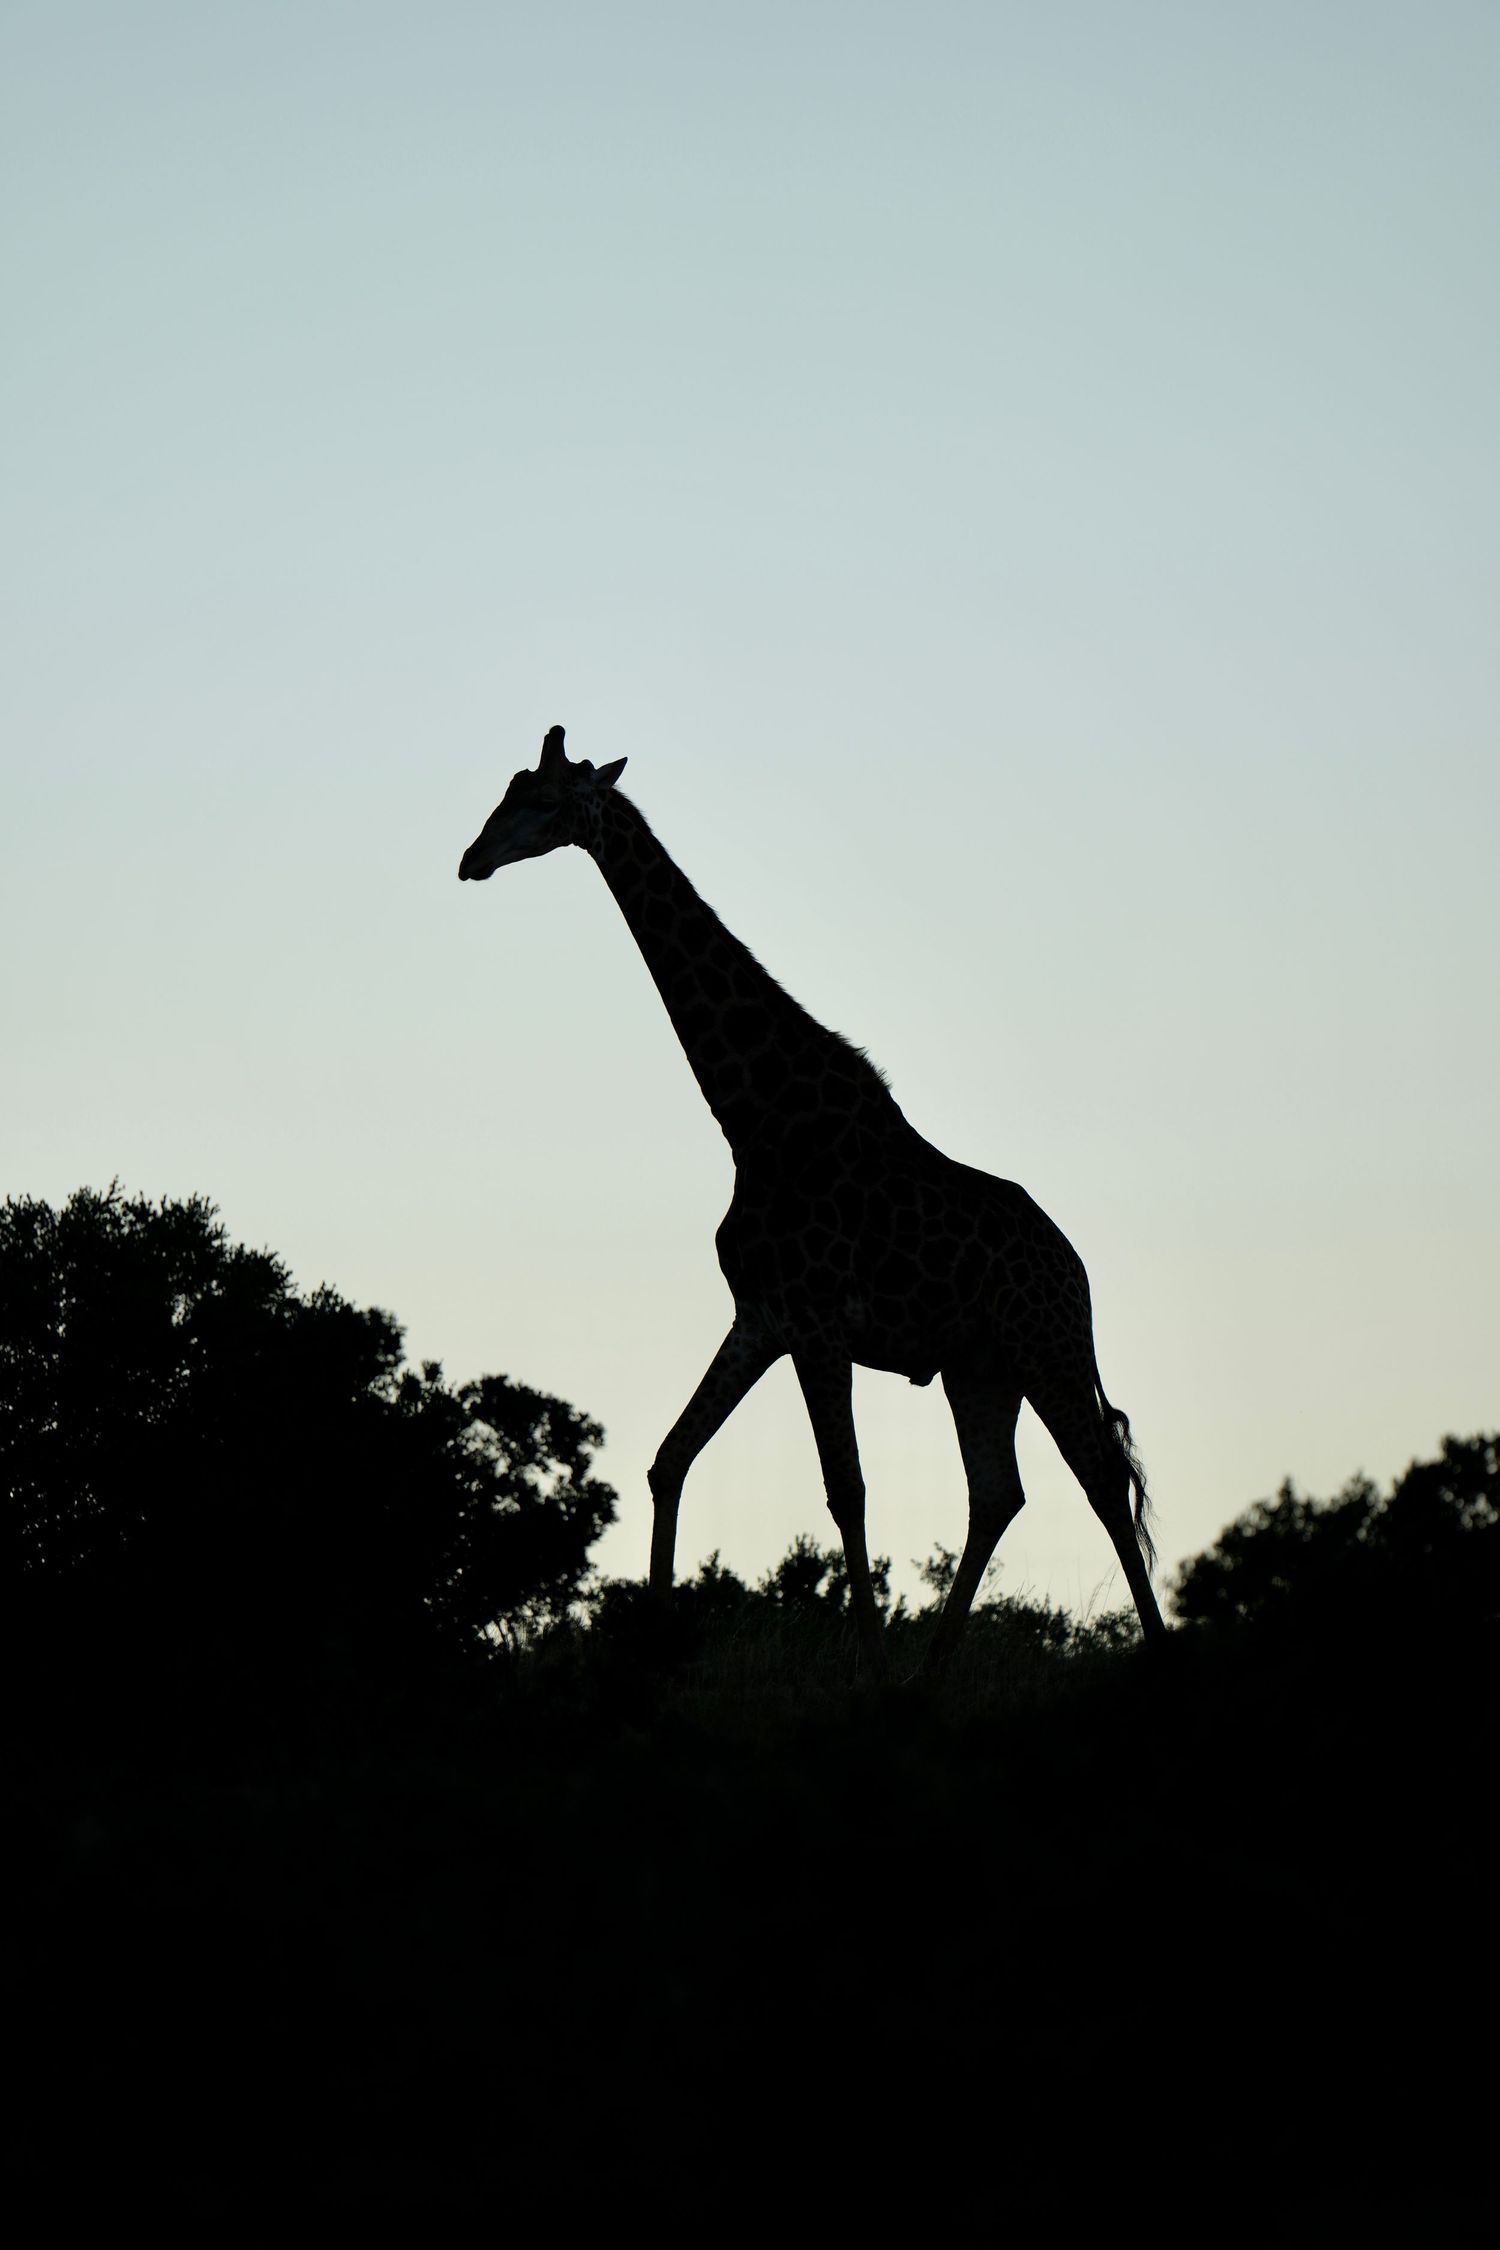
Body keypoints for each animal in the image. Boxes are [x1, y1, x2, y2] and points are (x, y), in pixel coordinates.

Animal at [459, 726, 1166, 1676]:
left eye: (541, 801)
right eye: (506, 789)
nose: (471, 859)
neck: (753, 1114)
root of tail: (1078, 1270)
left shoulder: (821, 1320)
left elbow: (847, 1489)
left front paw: (867, 1669)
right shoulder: (764, 1316)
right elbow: (669, 1459)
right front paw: (653, 1650)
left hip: (1046, 1350)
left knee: (1101, 1484)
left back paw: (1144, 1659)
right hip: (982, 1368)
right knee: (998, 1493)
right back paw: (929, 1680)